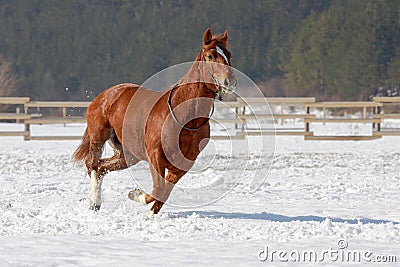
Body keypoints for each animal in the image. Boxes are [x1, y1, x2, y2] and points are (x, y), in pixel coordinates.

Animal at [73, 29, 236, 217]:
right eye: (210, 55)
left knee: (101, 167)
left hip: (128, 155)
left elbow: (164, 192)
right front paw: (135, 195)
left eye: (228, 55)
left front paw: (150, 212)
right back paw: (94, 201)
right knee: (92, 164)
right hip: (98, 137)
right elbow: (158, 188)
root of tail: (106, 95)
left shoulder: (183, 164)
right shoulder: (155, 155)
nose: (229, 82)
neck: (186, 118)